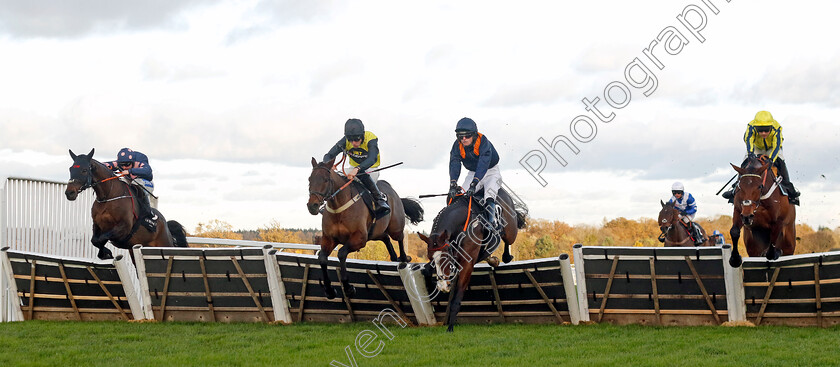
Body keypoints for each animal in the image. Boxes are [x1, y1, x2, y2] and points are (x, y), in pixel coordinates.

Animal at [306, 157, 424, 300]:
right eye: (310, 179)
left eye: (326, 180)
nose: (312, 206)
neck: (338, 209)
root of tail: (393, 192)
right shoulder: (329, 239)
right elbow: (322, 258)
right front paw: (329, 290)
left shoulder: (359, 239)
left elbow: (341, 253)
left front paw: (348, 287)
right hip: (375, 233)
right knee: (385, 237)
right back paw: (394, 257)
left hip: (395, 227)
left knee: (399, 238)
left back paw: (403, 258)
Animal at [418, 191, 528, 332]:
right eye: (430, 257)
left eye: (446, 257)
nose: (443, 286)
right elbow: (426, 270)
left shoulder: (467, 265)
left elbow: (457, 296)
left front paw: (450, 327)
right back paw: (491, 259)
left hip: (511, 231)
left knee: (508, 240)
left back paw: (505, 256)